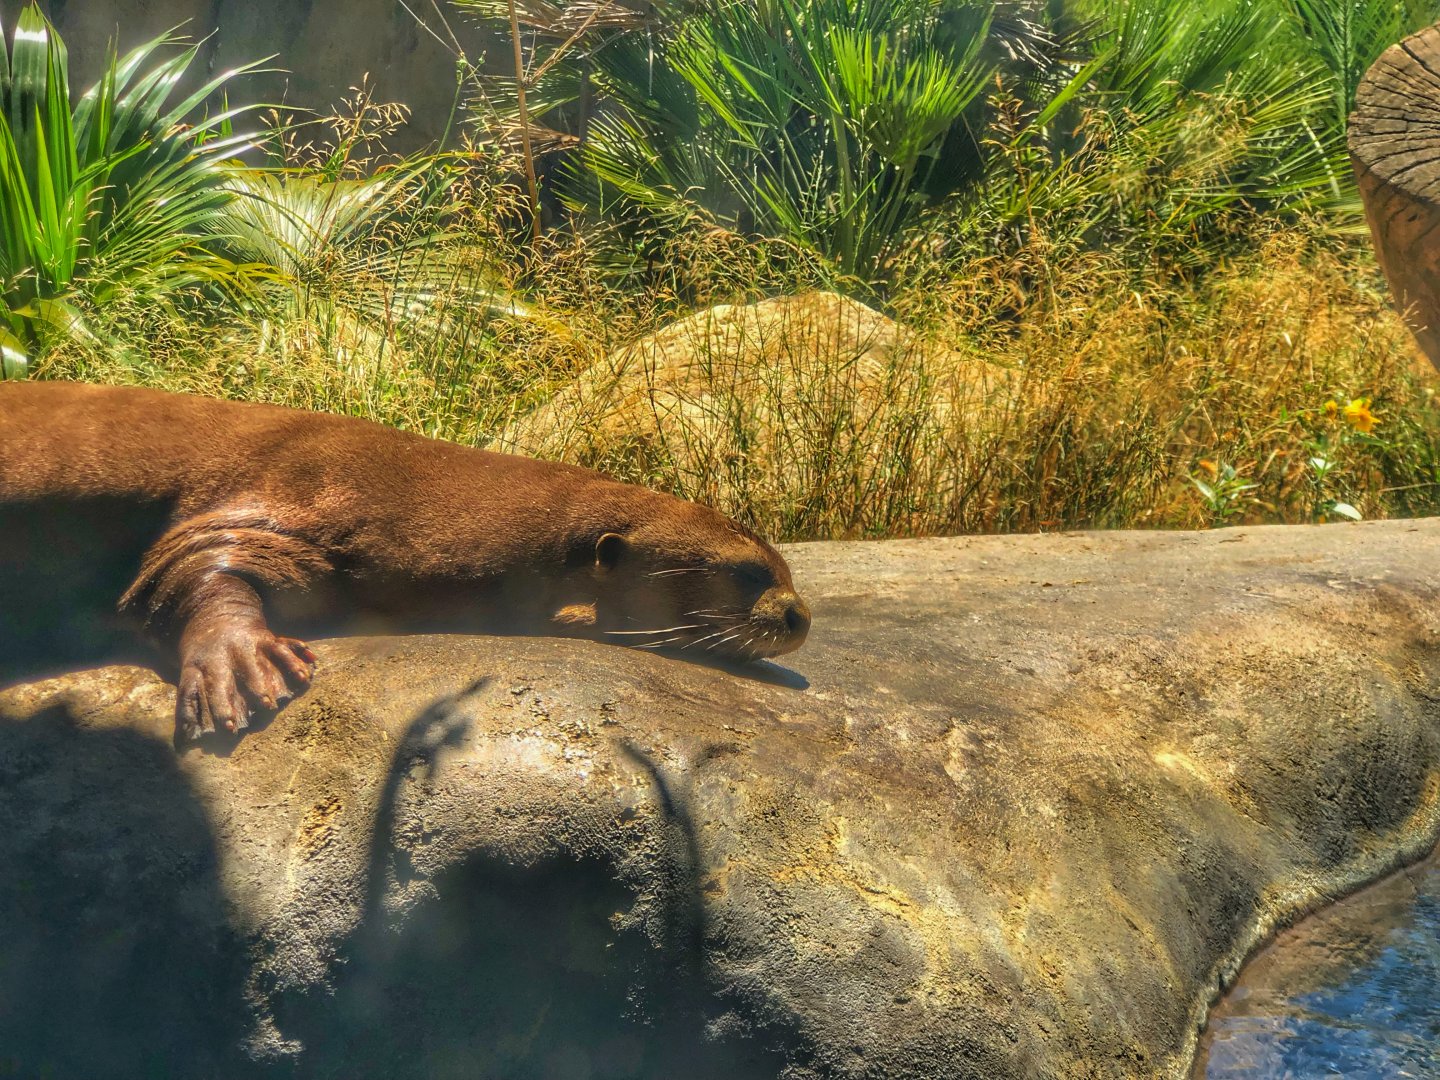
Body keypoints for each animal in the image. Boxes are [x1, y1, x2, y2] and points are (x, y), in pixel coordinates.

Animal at [0, 381, 810, 741]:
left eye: (787, 569)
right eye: (750, 574)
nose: (799, 615)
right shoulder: (276, 502)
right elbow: (181, 567)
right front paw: (244, 664)